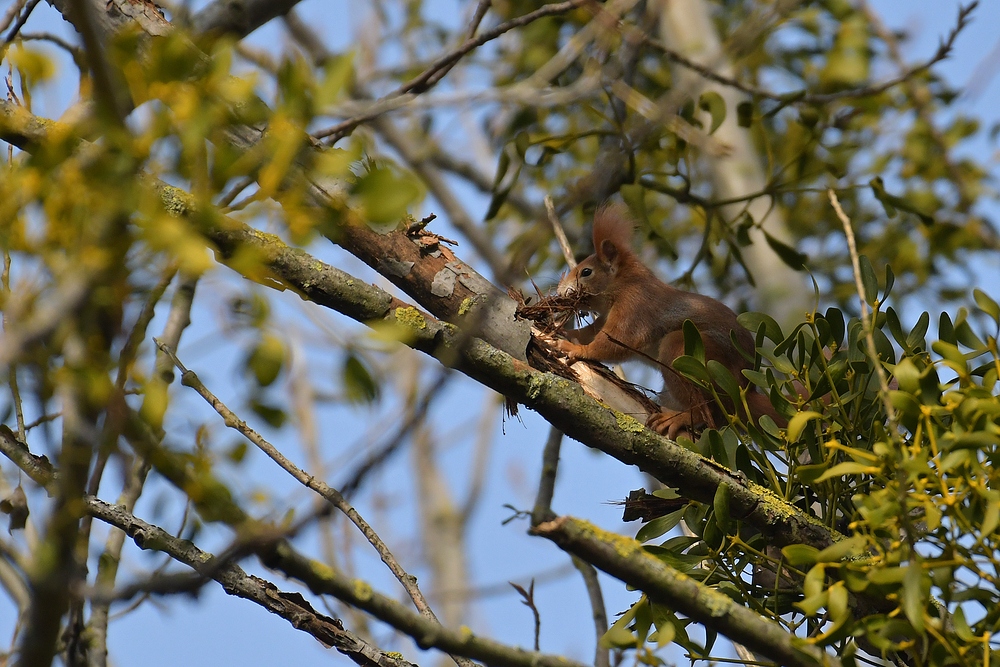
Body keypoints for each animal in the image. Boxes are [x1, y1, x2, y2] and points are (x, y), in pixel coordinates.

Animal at [556, 206, 780, 440]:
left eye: (586, 272)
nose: (559, 290)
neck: (625, 283)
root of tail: (743, 391)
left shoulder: (635, 307)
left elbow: (616, 342)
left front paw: (577, 349)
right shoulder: (606, 317)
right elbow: (590, 332)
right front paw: (568, 334)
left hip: (686, 352)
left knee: (713, 414)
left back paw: (678, 418)